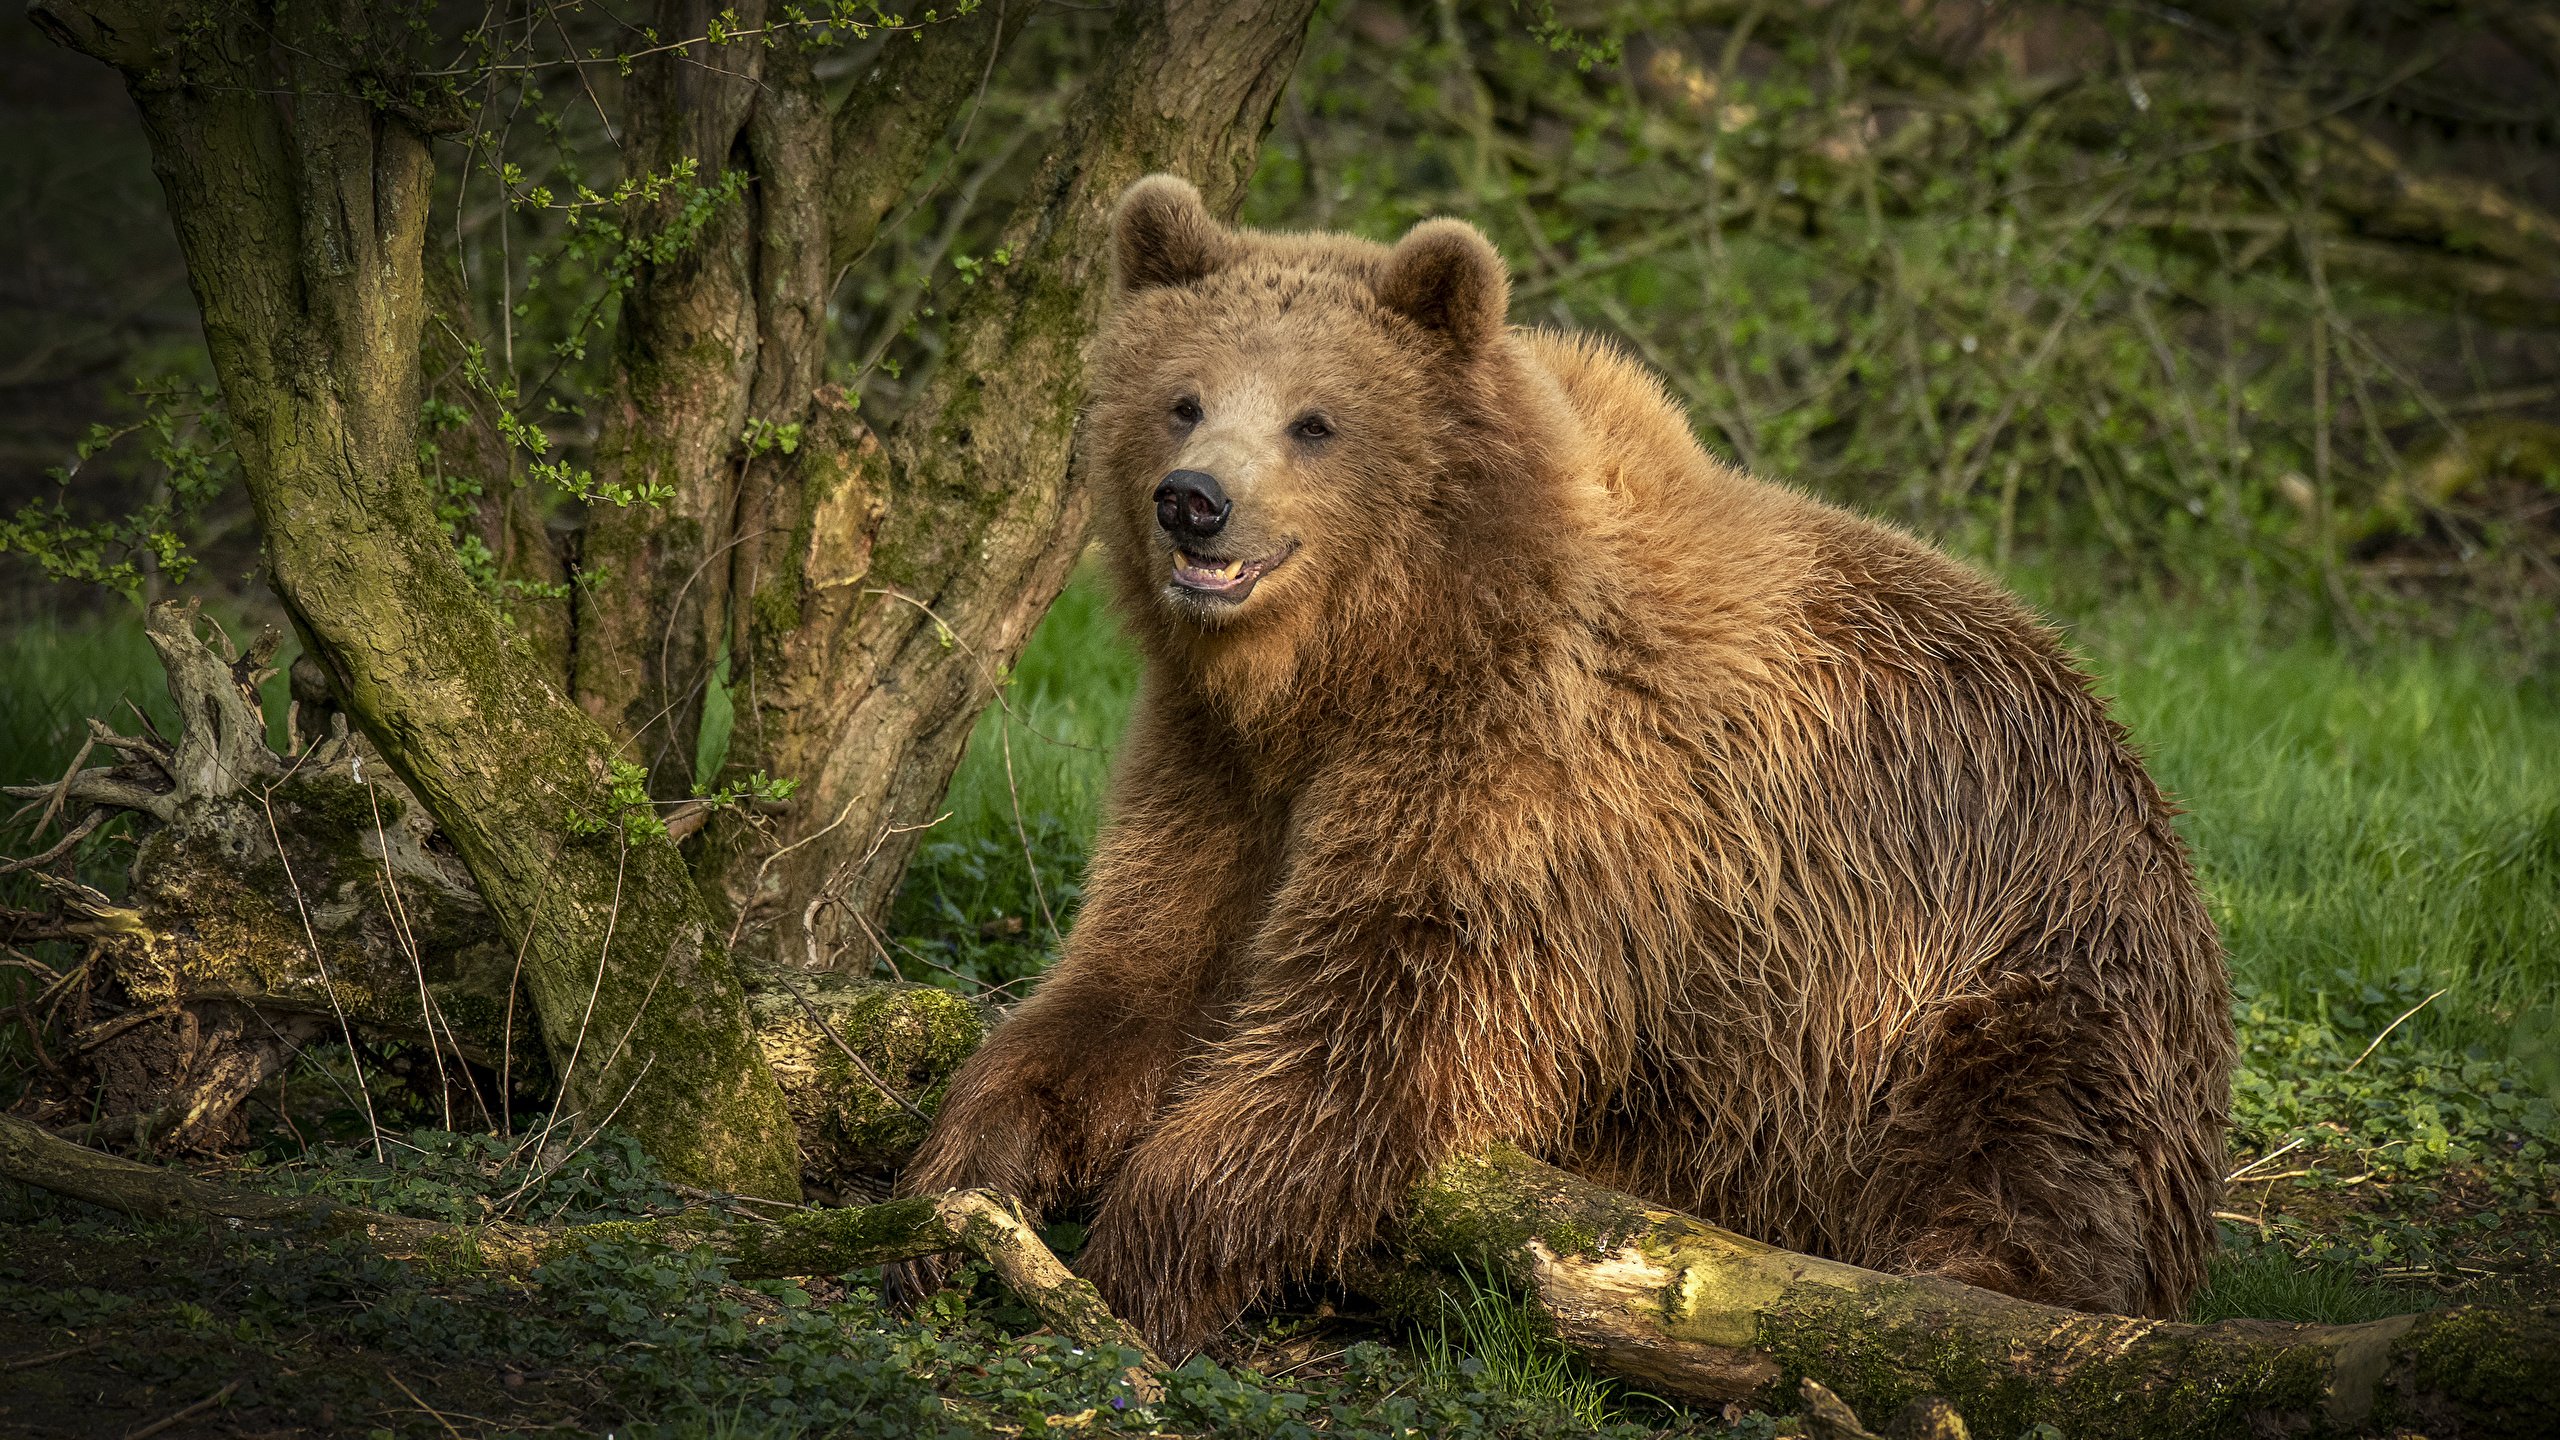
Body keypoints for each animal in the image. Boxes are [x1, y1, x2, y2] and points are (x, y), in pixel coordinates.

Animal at [896, 174, 2222, 1352]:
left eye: (1315, 420)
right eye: (1181, 398)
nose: (1194, 501)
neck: (1362, 660)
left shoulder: (1528, 786)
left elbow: (1375, 1031)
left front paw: (1132, 1265)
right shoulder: (1218, 767)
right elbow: (1138, 965)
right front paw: (967, 1177)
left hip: (2006, 962)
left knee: (2031, 1152)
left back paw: (1959, 1291)